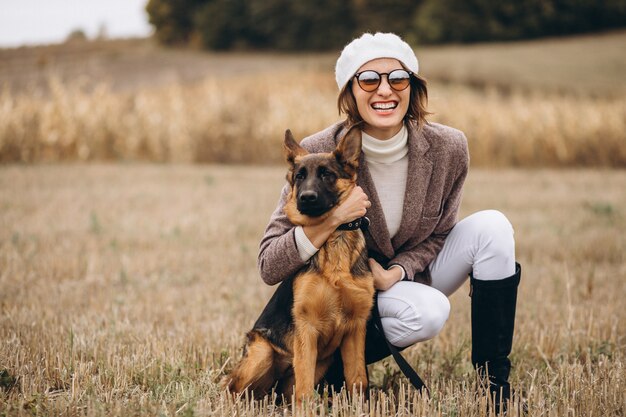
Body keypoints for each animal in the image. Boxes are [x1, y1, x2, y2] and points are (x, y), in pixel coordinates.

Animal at [224, 127, 372, 404]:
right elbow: (304, 390)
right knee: (230, 389)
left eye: (327, 174)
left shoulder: (356, 330)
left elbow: (358, 381)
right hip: (262, 354)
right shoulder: (307, 329)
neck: (334, 243)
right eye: (300, 177)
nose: (306, 198)